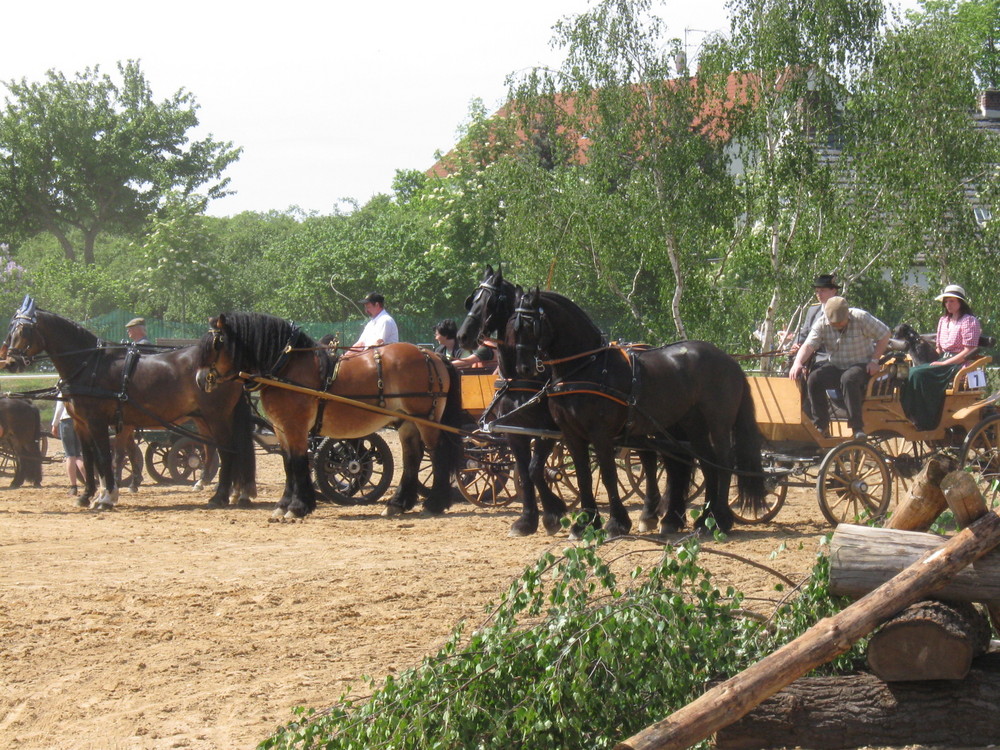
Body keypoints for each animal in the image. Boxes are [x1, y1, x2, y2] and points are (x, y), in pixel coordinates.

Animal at [0, 300, 256, 512]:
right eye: (11, 330)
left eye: (24, 330)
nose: (11, 362)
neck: (90, 364)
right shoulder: (81, 424)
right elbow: (90, 459)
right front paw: (87, 496)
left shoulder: (97, 422)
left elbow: (105, 457)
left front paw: (106, 498)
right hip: (208, 418)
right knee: (226, 450)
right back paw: (235, 493)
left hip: (216, 417)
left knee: (226, 450)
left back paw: (219, 496)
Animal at [195, 312, 464, 524]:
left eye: (217, 343)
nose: (200, 380)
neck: (287, 367)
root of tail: (433, 356)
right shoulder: (281, 429)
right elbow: (288, 464)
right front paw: (283, 505)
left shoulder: (295, 427)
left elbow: (298, 463)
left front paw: (297, 507)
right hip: (407, 421)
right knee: (412, 457)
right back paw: (398, 504)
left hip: (426, 418)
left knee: (438, 454)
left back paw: (434, 504)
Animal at [512, 288, 768, 540]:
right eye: (513, 326)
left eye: (529, 324)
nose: (523, 368)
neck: (587, 367)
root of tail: (729, 360)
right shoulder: (572, 435)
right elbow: (584, 476)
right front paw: (584, 525)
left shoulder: (600, 434)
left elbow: (608, 475)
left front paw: (616, 523)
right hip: (693, 427)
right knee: (707, 465)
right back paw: (704, 521)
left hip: (718, 424)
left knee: (723, 463)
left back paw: (720, 521)